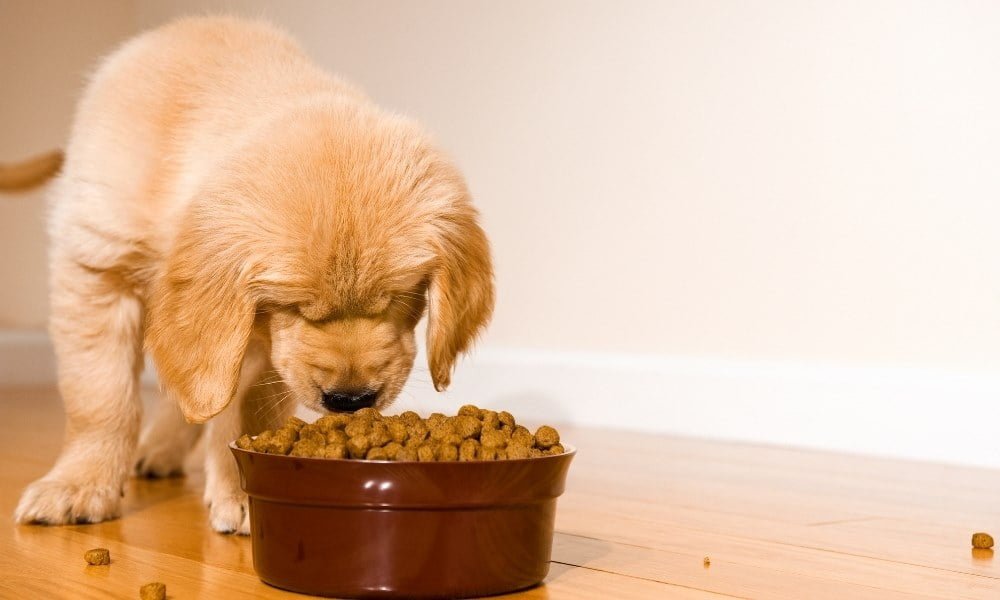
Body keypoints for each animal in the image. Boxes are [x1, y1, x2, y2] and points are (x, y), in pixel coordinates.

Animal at [11, 15, 496, 536]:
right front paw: (79, 485)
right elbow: (100, 397)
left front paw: (242, 489)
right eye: (295, 306)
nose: (350, 400)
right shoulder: (97, 265)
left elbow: (244, 407)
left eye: (401, 298)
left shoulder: (257, 339)